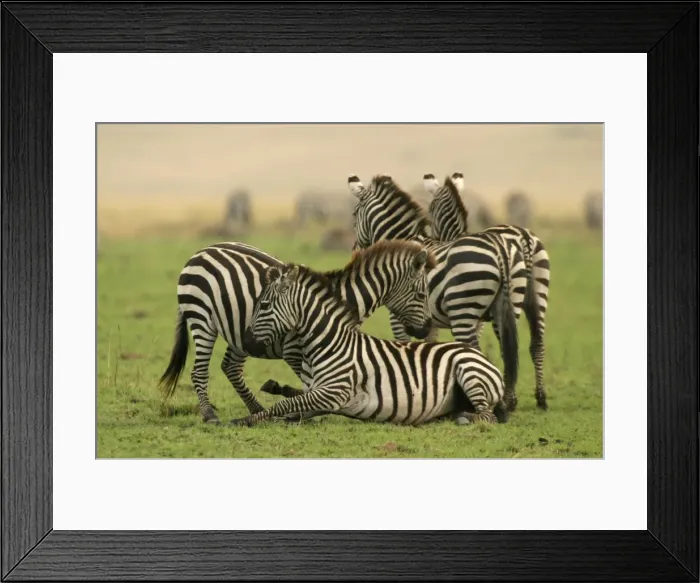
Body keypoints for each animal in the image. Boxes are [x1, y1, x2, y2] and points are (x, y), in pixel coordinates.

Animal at [158, 239, 434, 424]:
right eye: (422, 294)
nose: (425, 331)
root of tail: (202, 251)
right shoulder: (295, 352)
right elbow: (310, 387)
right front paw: (300, 410)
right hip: (202, 319)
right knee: (199, 371)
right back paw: (209, 414)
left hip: (239, 335)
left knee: (231, 368)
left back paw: (257, 409)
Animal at [231, 262, 508, 427]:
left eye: (264, 305)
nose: (245, 342)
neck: (325, 344)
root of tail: (485, 360)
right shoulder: (315, 396)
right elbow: (288, 409)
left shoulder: (334, 393)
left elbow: (283, 405)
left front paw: (242, 420)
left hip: (469, 372)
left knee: (488, 417)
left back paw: (465, 418)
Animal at [349, 174, 526, 411]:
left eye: (354, 214)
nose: (354, 251)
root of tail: (500, 250)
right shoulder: (426, 320)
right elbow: (429, 347)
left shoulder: (399, 313)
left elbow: (404, 343)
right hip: (509, 308)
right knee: (508, 351)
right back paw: (508, 402)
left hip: (463, 309)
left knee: (473, 350)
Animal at [424, 172, 550, 411]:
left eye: (431, 208)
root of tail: (525, 237)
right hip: (537, 293)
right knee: (535, 343)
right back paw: (540, 398)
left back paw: (510, 401)